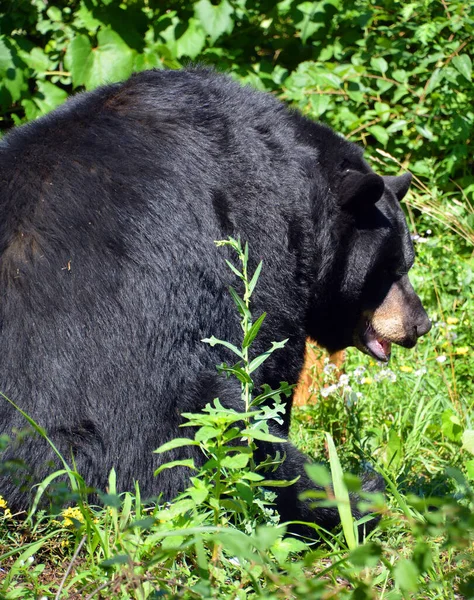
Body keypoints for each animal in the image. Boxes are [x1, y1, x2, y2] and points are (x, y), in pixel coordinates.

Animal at [0, 68, 430, 532]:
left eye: (405, 260)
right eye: (391, 267)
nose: (420, 323)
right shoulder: (257, 241)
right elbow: (271, 368)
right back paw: (355, 497)